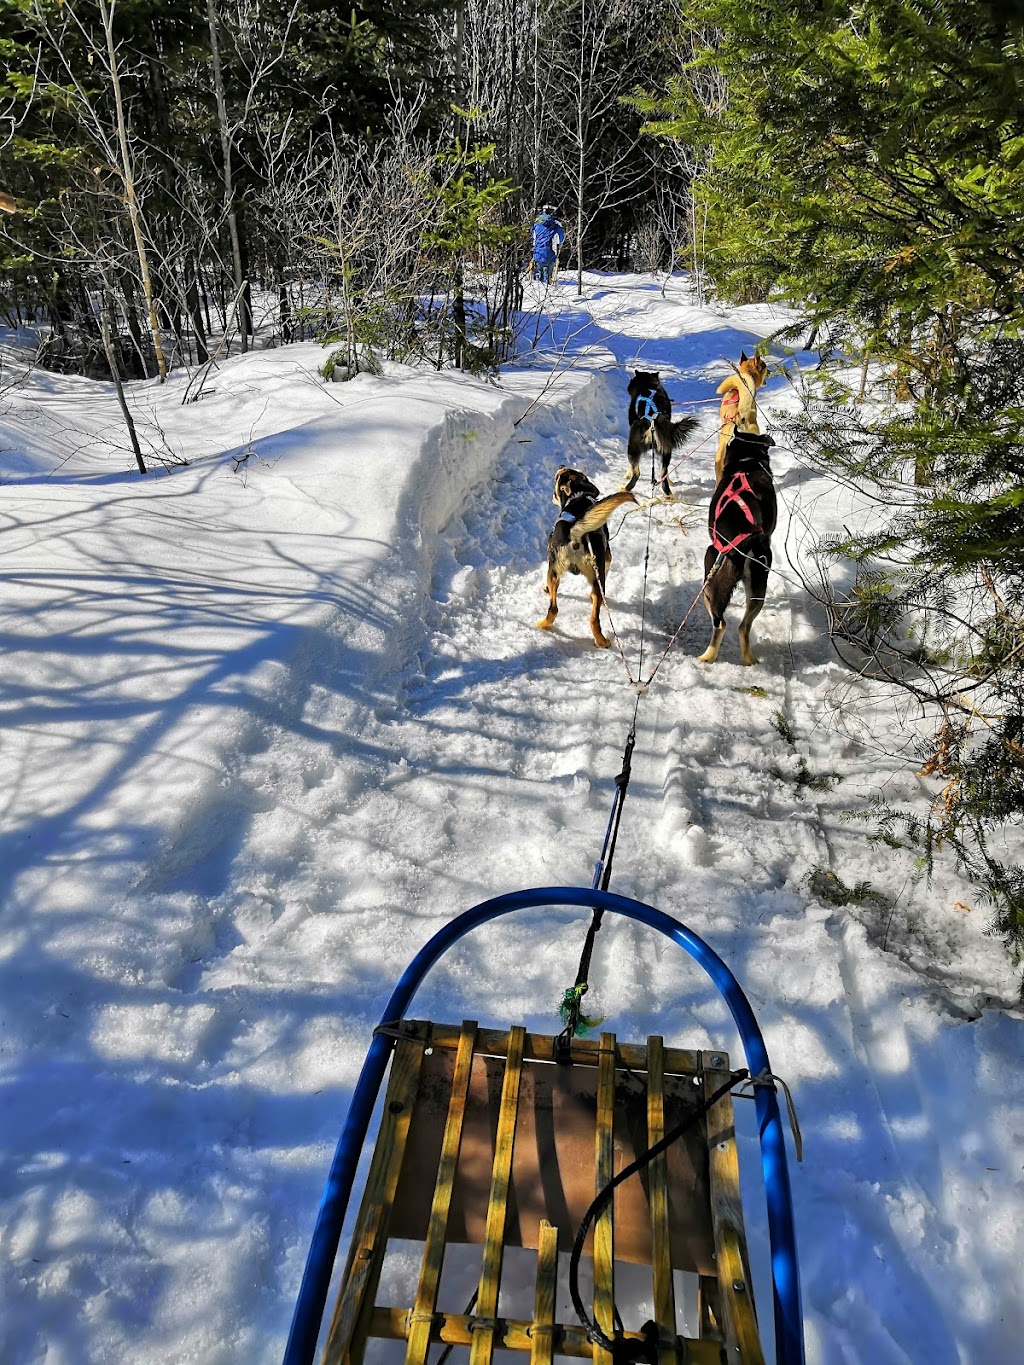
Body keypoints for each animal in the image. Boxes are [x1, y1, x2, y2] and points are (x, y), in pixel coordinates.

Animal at [540, 466, 638, 647]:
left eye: (558, 476)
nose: (560, 465)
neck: (577, 496)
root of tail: (575, 533)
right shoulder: (607, 559)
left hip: (554, 571)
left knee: (553, 608)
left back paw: (543, 625)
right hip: (597, 574)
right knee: (593, 618)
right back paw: (601, 641)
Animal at [622, 371, 704, 499]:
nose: (628, 385)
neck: (648, 385)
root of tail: (653, 418)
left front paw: (627, 474)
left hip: (633, 448)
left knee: (637, 472)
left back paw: (625, 488)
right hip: (665, 450)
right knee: (663, 473)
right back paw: (669, 495)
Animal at [699, 425, 775, 660]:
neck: (747, 461)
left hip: (710, 572)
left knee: (720, 623)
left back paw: (707, 657)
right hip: (759, 582)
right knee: (744, 626)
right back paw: (749, 660)